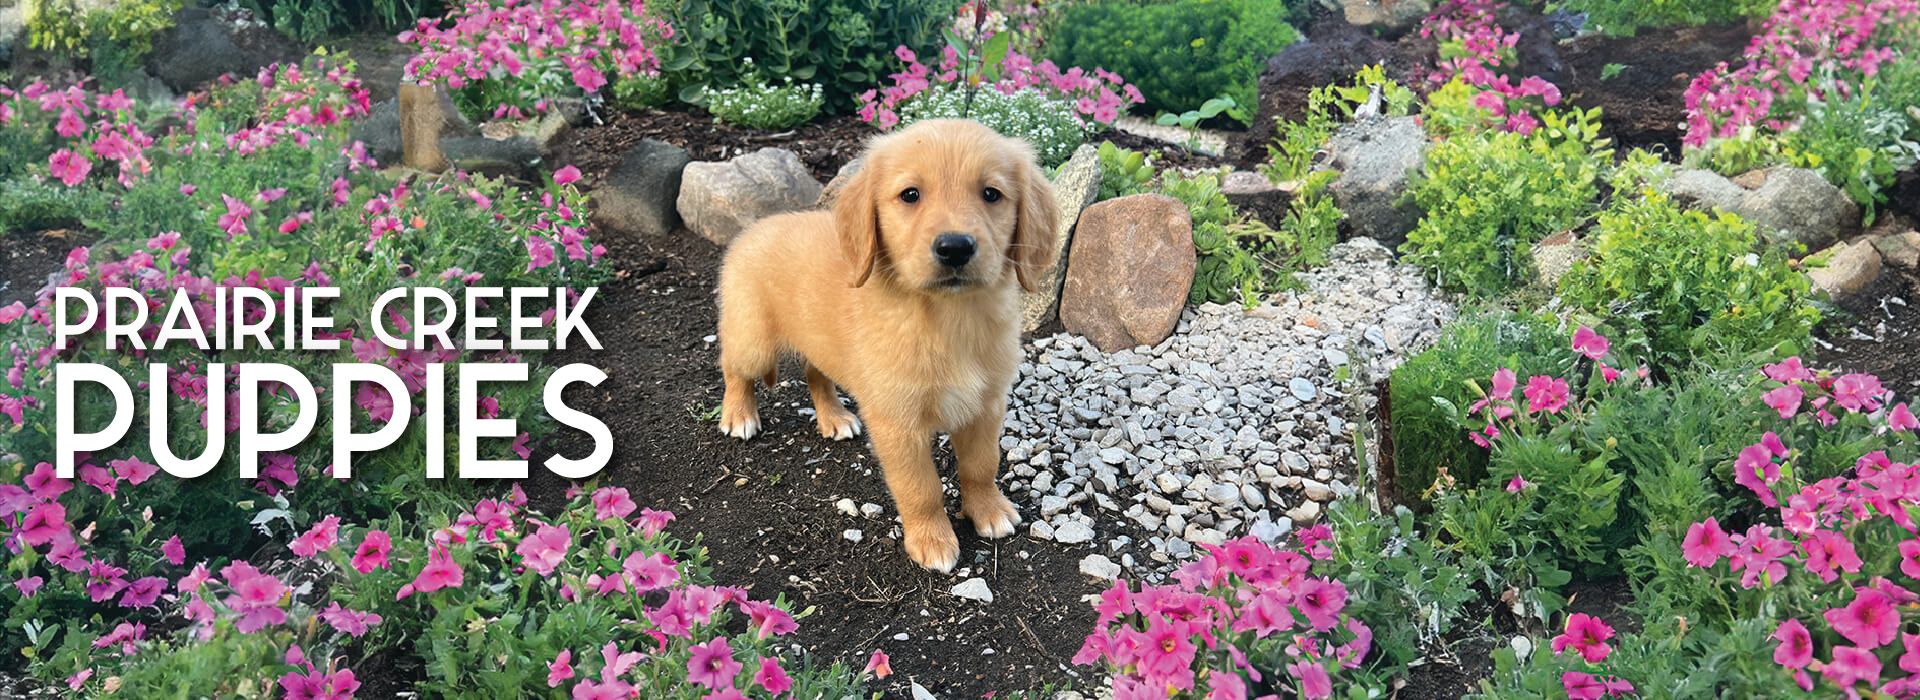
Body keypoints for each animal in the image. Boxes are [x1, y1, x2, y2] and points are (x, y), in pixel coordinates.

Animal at [714, 118, 1067, 567]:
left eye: (991, 194)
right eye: (910, 195)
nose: (955, 247)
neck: (947, 319)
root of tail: (756, 227)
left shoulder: (986, 406)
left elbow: (981, 466)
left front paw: (989, 511)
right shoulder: (898, 423)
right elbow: (921, 487)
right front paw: (932, 540)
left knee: (815, 374)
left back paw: (834, 418)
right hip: (753, 340)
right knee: (734, 370)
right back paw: (739, 415)